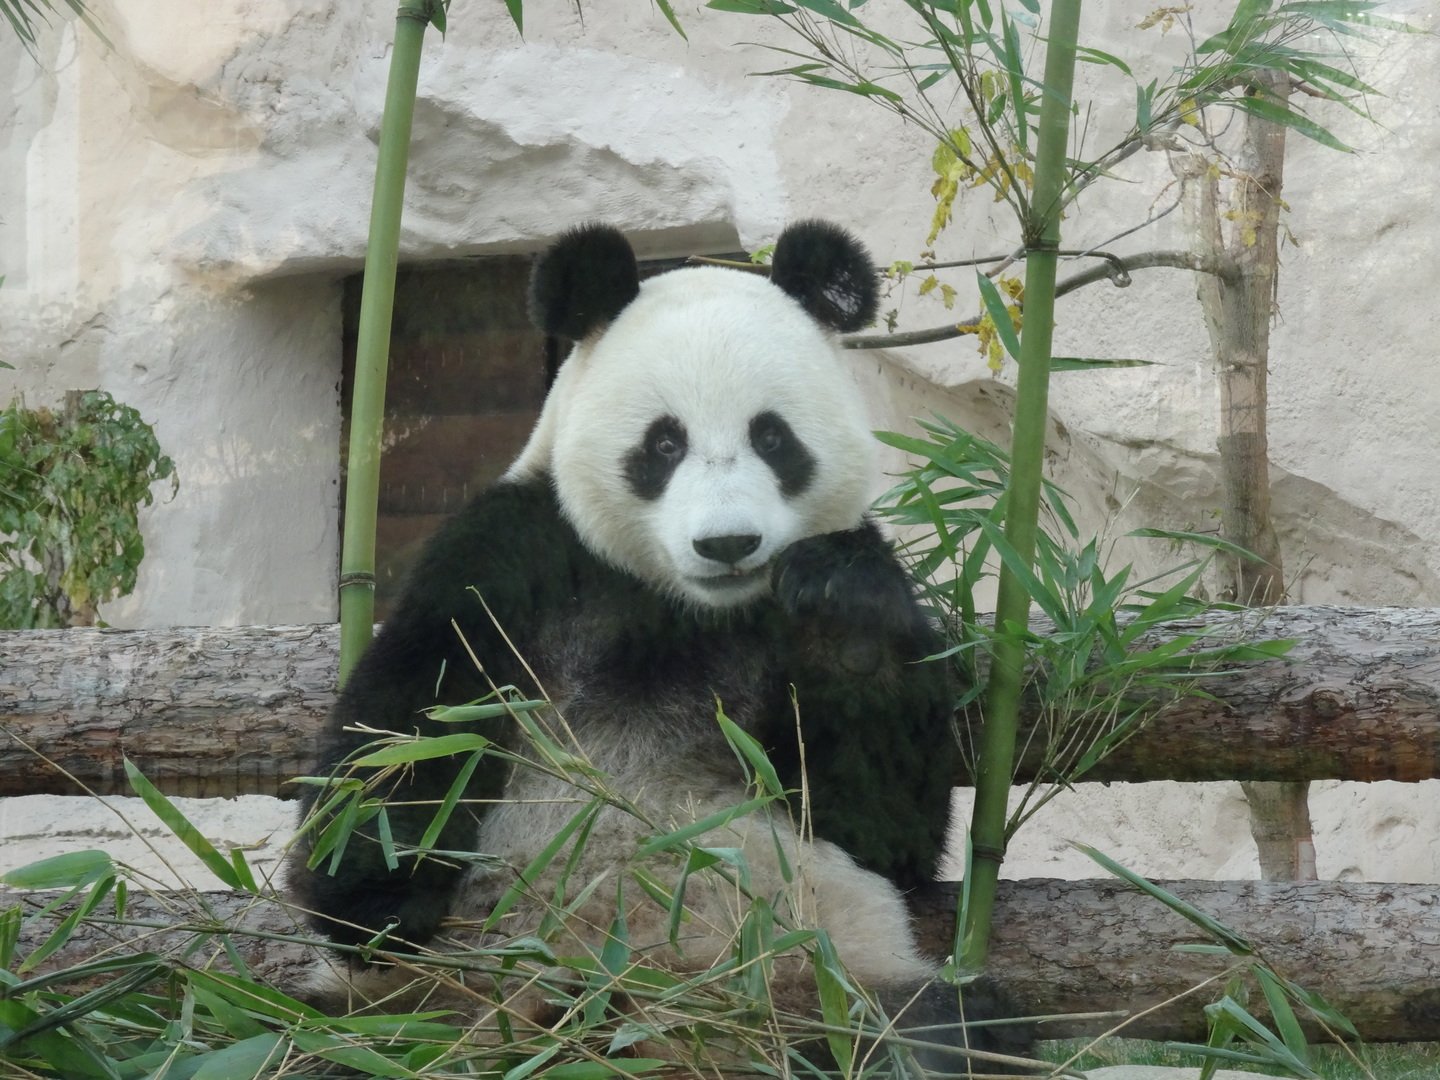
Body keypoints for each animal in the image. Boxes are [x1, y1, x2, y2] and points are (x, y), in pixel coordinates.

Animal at [286, 220, 1019, 1077]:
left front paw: (843, 608)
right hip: (405, 1012)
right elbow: (410, 725)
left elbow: (881, 830)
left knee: (943, 1032)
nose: (728, 543)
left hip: (826, 978)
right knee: (313, 1039)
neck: (683, 604)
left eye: (772, 437)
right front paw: (385, 895)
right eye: (664, 444)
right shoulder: (518, 555)